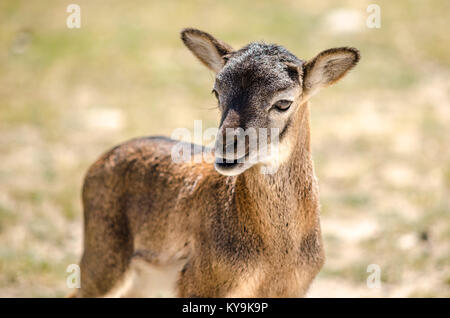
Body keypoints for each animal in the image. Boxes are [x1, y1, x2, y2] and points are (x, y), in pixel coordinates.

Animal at [73, 28, 358, 296]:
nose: (226, 146)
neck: (276, 257)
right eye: (216, 92)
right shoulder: (199, 281)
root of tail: (100, 161)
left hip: (145, 276)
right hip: (103, 255)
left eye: (284, 102)